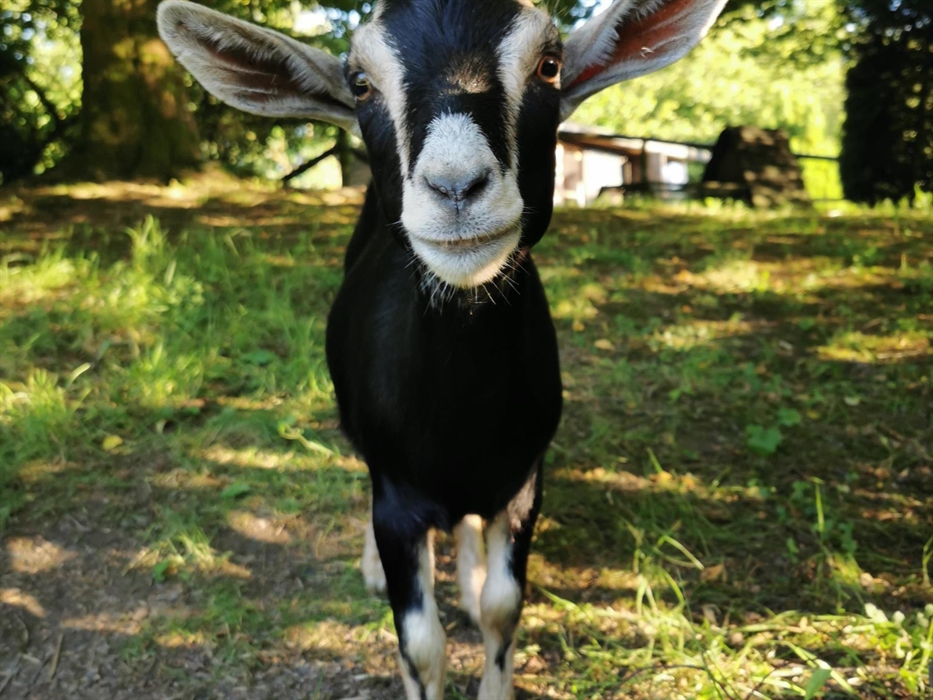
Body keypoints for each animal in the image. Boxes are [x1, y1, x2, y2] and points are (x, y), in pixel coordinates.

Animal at [156, 0, 726, 696]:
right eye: (360, 83)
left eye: (550, 65)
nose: (456, 188)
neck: (461, 425)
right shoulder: (398, 502)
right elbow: (420, 644)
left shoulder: (523, 485)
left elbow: (502, 607)